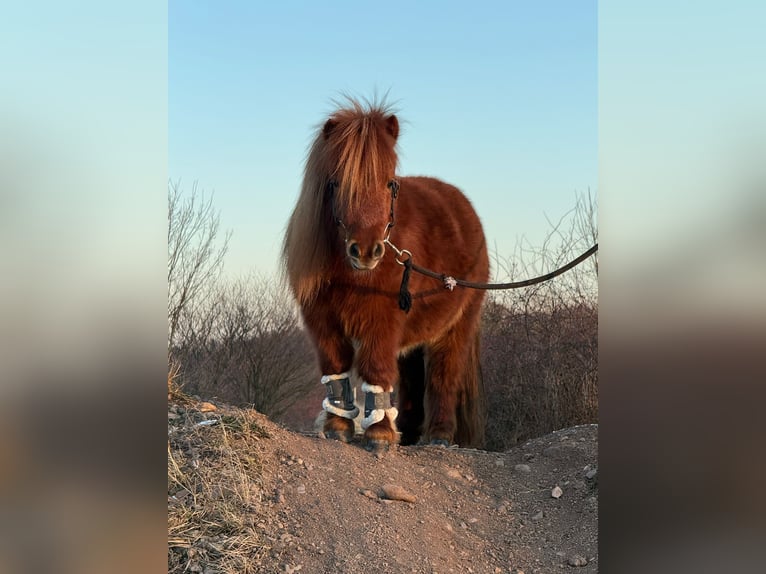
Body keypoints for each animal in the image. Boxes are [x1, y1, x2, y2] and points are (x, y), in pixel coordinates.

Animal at [282, 98, 489, 451]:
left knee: (443, 375)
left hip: (456, 327)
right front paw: (338, 427)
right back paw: (406, 432)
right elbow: (336, 370)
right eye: (336, 183)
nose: (366, 251)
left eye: (390, 183)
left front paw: (378, 434)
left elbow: (375, 369)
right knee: (411, 379)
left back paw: (439, 435)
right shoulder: (321, 321)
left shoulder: (381, 322)